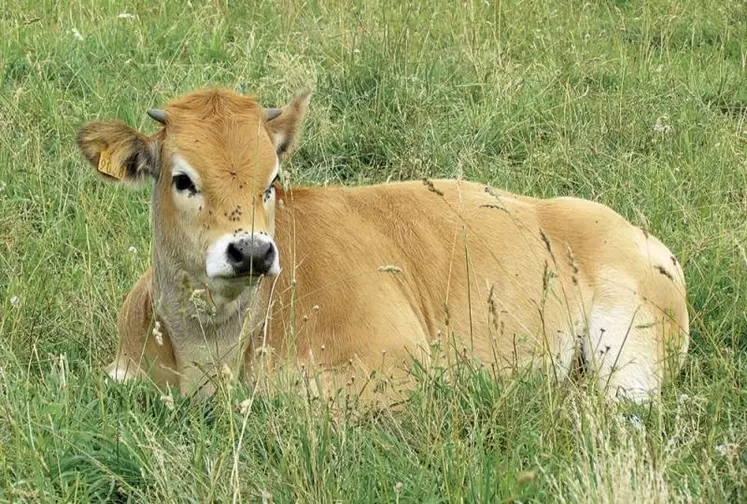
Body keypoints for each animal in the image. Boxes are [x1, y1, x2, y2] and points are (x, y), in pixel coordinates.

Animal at [76, 86, 688, 402]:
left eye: (272, 180)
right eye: (182, 178)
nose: (250, 251)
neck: (211, 354)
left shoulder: (397, 368)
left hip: (631, 354)